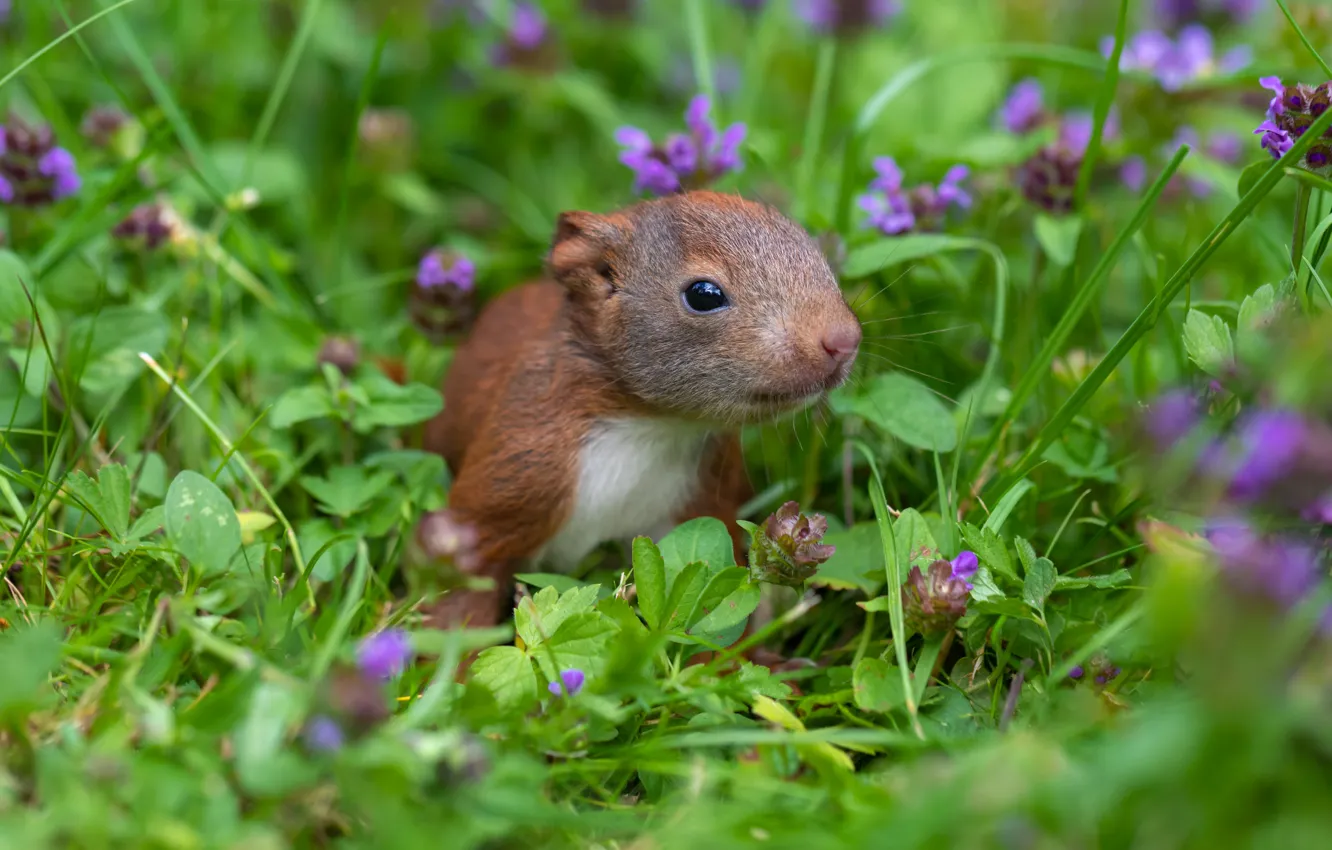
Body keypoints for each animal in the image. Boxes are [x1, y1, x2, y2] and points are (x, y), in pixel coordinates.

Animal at [422, 190, 861, 628]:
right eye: (703, 294)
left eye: (820, 259)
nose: (844, 340)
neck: (650, 425)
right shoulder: (518, 474)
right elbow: (461, 589)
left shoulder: (702, 506)